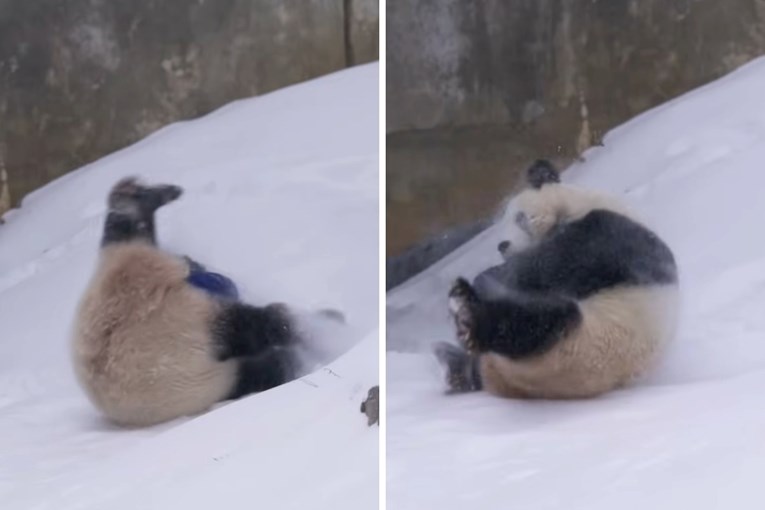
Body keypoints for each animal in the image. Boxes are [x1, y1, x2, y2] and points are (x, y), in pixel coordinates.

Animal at [434, 160, 680, 399]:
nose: (503, 245)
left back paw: (467, 314)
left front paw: (487, 277)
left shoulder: (608, 234)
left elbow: (553, 266)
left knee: (535, 326)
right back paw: (456, 369)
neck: (576, 202)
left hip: (575, 347)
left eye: (519, 218)